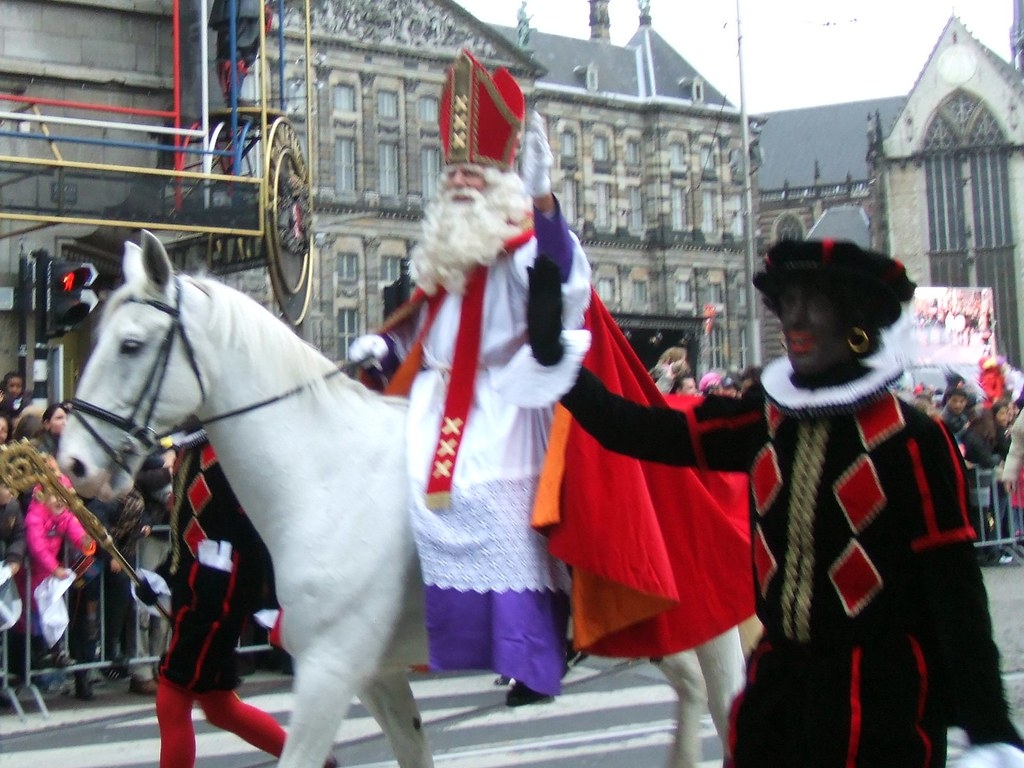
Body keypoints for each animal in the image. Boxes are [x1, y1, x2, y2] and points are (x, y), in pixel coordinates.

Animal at [56, 233, 745, 768]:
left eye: (131, 345)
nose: (73, 463)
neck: (324, 474)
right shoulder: (375, 675)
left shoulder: (329, 670)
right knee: (689, 691)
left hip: (713, 622)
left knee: (725, 701)